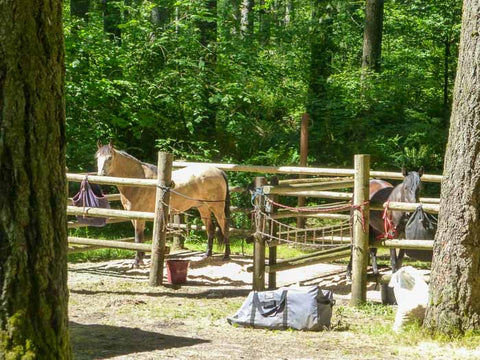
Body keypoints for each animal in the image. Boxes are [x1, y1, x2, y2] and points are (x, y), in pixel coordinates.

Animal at [95, 142, 231, 266]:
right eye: (97, 157)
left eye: (109, 158)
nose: (101, 175)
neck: (139, 181)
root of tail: (218, 171)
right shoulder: (133, 215)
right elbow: (138, 238)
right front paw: (141, 257)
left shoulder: (140, 216)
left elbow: (138, 237)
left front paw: (137, 262)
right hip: (203, 208)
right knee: (210, 229)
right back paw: (207, 254)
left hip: (217, 208)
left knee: (224, 226)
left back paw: (226, 255)